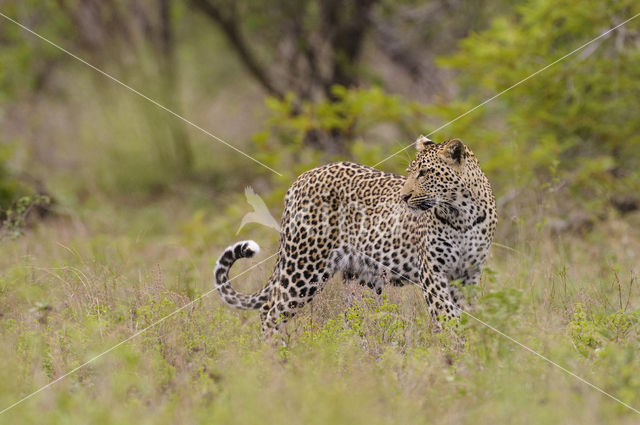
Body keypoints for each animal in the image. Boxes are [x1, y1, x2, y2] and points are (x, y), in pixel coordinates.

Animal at [212, 137, 498, 344]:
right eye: (410, 172)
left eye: (425, 173)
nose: (404, 197)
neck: (461, 214)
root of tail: (300, 179)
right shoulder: (432, 271)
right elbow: (446, 314)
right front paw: (455, 349)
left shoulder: (468, 275)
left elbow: (463, 314)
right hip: (305, 266)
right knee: (269, 310)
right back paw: (278, 357)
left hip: (361, 278)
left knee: (355, 317)